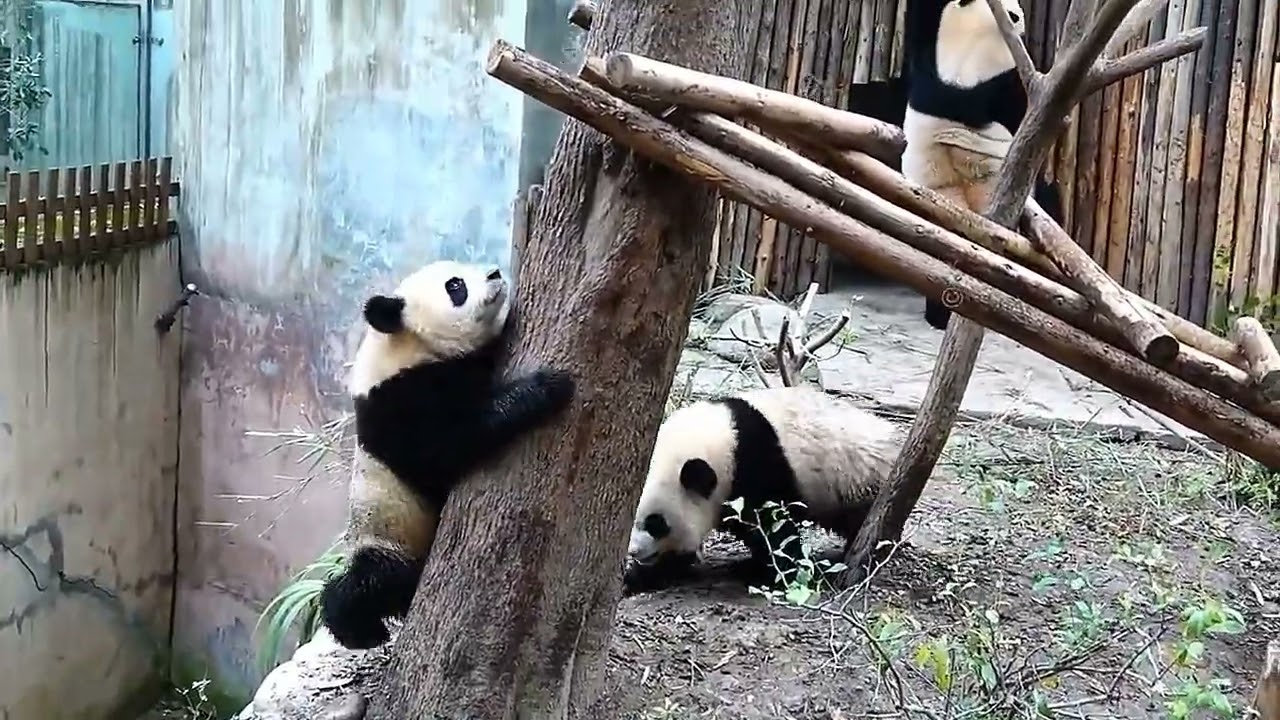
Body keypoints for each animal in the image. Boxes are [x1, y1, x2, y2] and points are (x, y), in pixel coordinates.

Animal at [319, 259, 575, 650]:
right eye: (455, 286)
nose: (495, 273)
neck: (405, 347)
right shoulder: (398, 402)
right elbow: (447, 447)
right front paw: (547, 387)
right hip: (389, 536)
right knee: (366, 583)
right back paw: (364, 630)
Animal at [623, 385, 902, 592]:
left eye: (656, 523)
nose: (634, 551)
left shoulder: (757, 467)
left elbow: (773, 527)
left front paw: (776, 574)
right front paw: (639, 578)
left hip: (860, 480)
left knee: (863, 523)